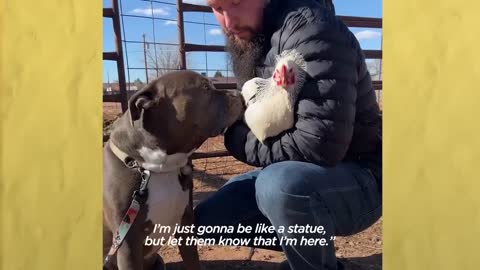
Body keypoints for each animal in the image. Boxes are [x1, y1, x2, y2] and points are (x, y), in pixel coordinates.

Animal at [101, 70, 244, 270]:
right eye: (205, 87)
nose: (239, 94)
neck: (159, 168)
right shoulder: (127, 245)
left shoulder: (186, 225)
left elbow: (193, 261)